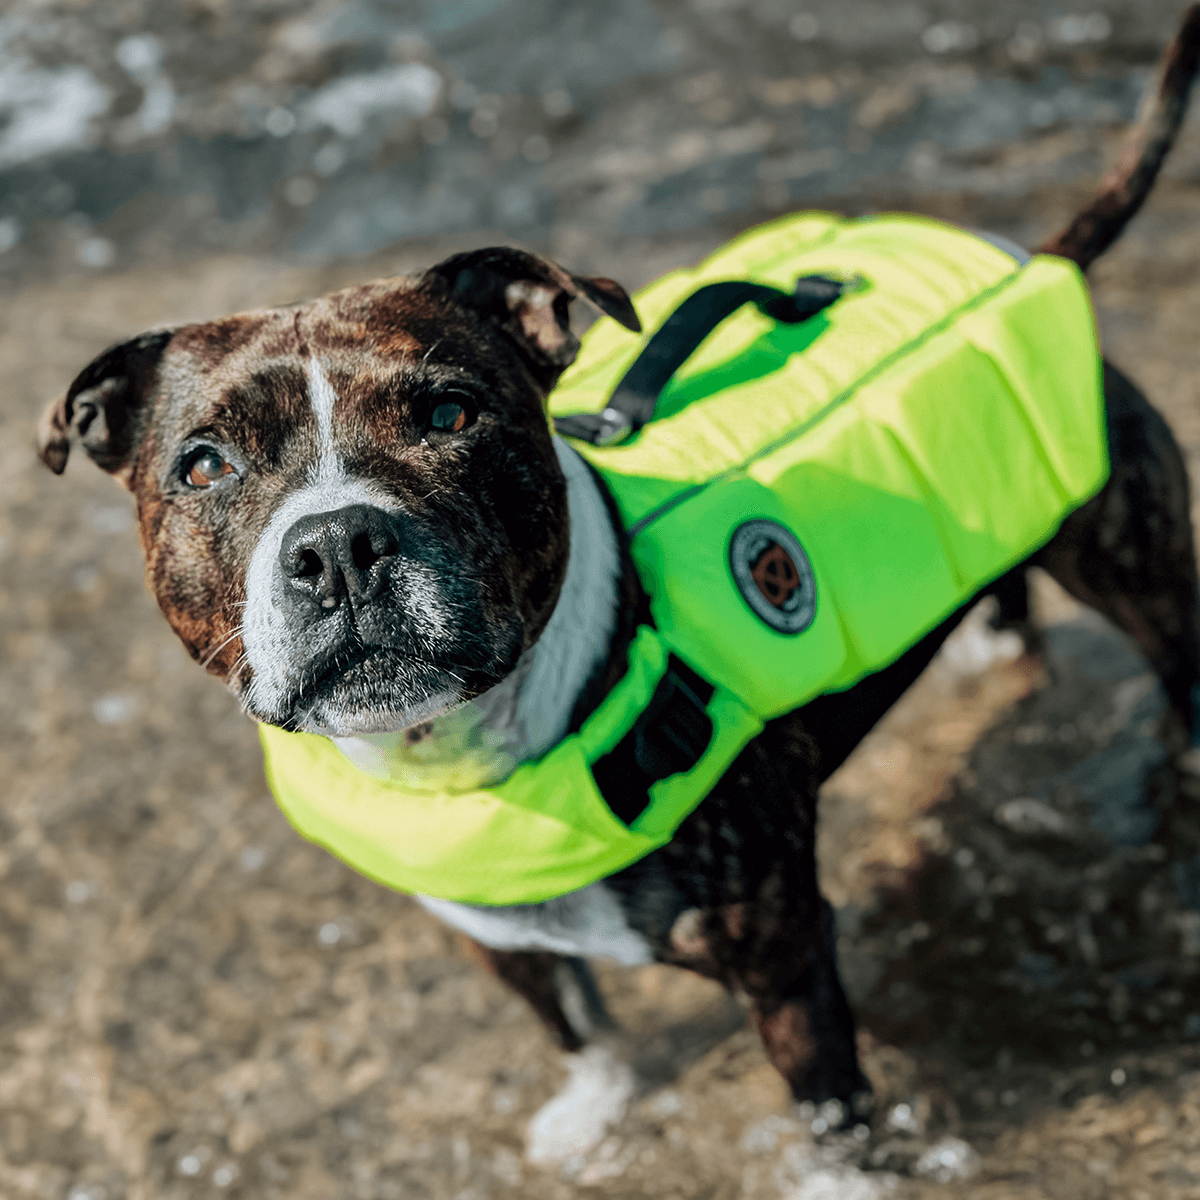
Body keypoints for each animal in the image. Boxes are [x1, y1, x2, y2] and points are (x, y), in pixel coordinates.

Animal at [32, 4, 1200, 1118]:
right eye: (203, 465)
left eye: (451, 412)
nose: (337, 545)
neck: (477, 758)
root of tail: (1033, 258)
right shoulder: (498, 944)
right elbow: (583, 1040)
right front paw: (593, 1124)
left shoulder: (784, 959)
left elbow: (831, 1115)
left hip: (1140, 567)